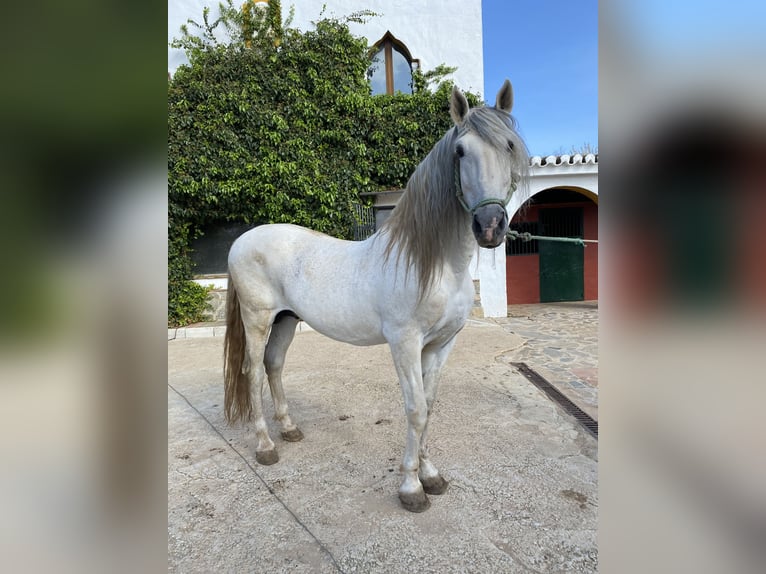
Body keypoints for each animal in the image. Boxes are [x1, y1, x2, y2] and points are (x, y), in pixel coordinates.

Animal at [225, 80, 532, 512]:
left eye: (509, 145)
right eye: (460, 151)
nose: (490, 227)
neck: (434, 264)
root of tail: (242, 240)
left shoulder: (441, 344)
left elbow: (430, 406)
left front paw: (431, 475)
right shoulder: (404, 342)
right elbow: (416, 410)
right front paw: (411, 488)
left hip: (286, 320)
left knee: (274, 365)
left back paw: (289, 429)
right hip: (258, 319)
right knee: (252, 372)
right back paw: (266, 446)